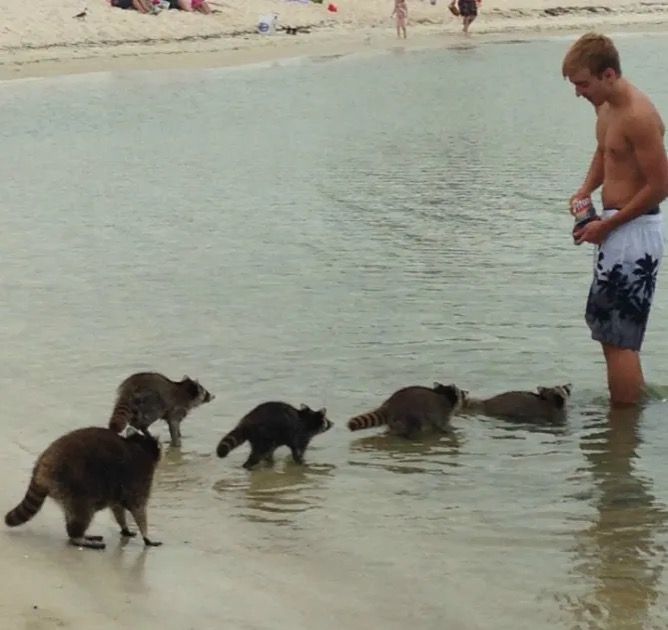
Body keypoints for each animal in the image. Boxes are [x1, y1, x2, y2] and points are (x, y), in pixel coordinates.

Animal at [4, 428, 162, 552]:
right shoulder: (139, 478)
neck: (139, 445)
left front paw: (124, 526)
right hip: (74, 484)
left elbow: (117, 508)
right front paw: (146, 535)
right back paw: (77, 537)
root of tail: (43, 465)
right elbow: (138, 507)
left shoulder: (121, 488)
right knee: (83, 513)